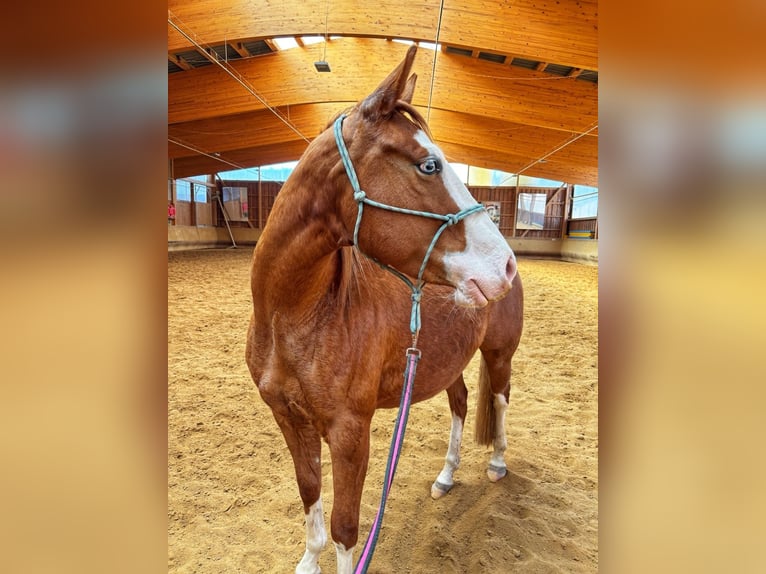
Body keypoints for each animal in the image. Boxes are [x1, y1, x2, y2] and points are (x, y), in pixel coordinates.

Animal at [246, 45, 523, 574]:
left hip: (499, 354)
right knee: (460, 402)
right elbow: (310, 496)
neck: (298, 317)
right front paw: (308, 560)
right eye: (429, 165)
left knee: (499, 399)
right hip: (443, 359)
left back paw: (498, 464)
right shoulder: (289, 420)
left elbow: (345, 528)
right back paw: (446, 476)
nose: (505, 265)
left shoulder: (351, 434)